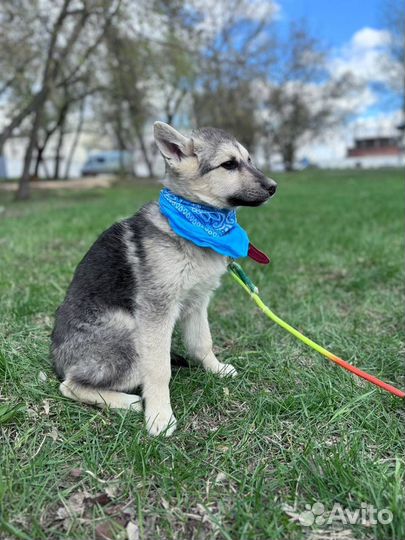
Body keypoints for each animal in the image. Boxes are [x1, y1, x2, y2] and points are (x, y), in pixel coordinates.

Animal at [51, 122, 274, 434]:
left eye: (249, 160)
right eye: (229, 164)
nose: (274, 187)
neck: (196, 223)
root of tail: (57, 360)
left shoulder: (197, 302)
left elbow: (202, 342)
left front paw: (215, 369)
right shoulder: (157, 311)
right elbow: (158, 369)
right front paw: (159, 415)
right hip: (130, 339)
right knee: (69, 385)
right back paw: (127, 401)